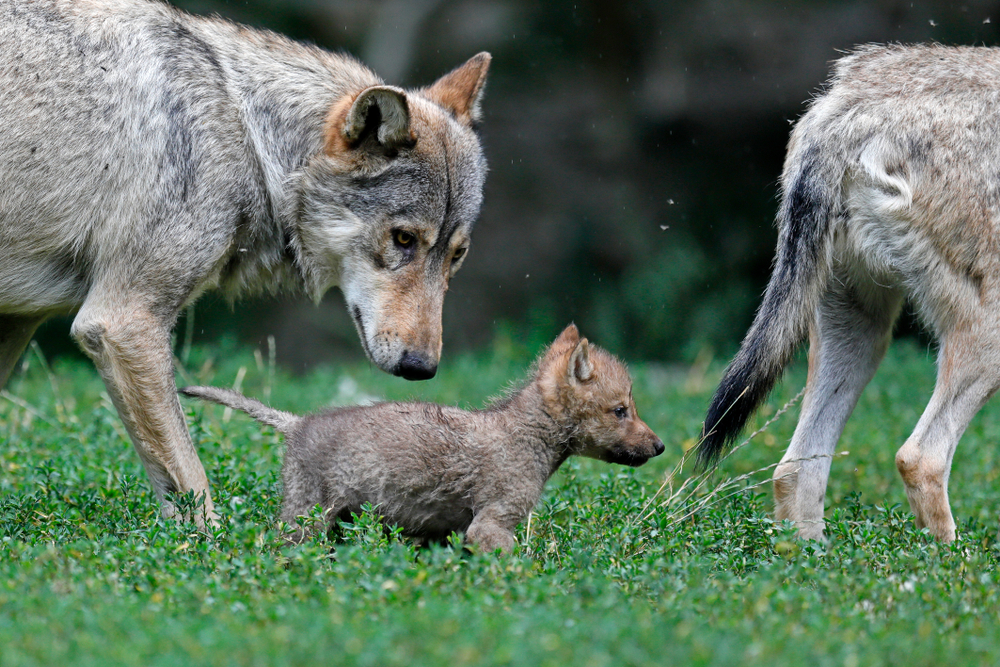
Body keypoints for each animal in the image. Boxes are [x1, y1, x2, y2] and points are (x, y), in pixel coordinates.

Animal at [0, 0, 491, 526]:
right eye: (403, 240)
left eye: (457, 255)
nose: (422, 368)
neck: (246, 133)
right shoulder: (122, 322)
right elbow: (192, 484)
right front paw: (212, 542)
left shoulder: (19, 322)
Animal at [181, 324, 664, 553]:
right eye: (621, 410)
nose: (660, 446)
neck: (527, 436)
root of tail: (296, 423)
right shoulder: (492, 524)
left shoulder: (447, 533)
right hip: (306, 519)